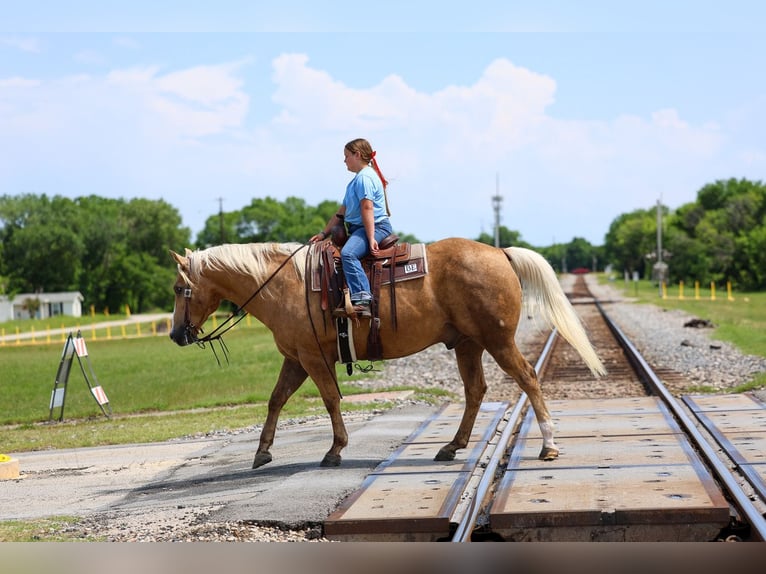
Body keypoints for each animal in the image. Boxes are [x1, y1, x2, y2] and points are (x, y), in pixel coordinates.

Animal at [169, 237, 605, 469]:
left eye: (178, 289)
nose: (175, 334)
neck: (284, 285)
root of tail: (500, 252)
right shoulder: (295, 358)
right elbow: (276, 399)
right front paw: (262, 452)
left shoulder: (312, 357)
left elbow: (329, 399)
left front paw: (335, 450)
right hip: (468, 344)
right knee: (475, 391)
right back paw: (452, 446)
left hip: (497, 341)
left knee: (527, 378)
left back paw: (548, 444)